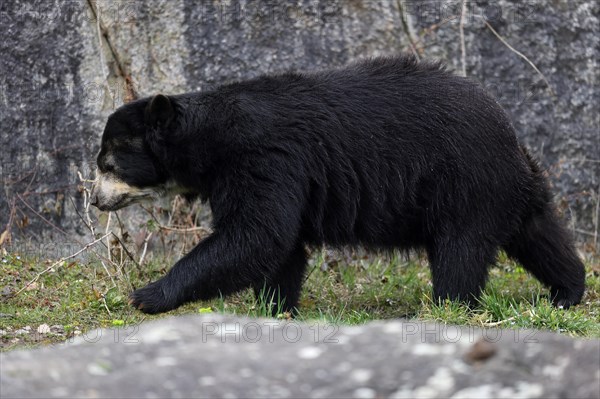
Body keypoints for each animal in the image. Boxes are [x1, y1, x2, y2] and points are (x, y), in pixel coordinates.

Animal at [90, 54, 584, 314]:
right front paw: (275, 306)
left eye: (109, 163)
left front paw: (147, 294)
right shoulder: (273, 174)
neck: (211, 143)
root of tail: (509, 132)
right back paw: (567, 290)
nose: (95, 201)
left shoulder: (265, 160)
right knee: (540, 234)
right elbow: (280, 246)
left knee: (460, 251)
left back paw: (449, 305)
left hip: (463, 181)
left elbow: (256, 234)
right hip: (508, 186)